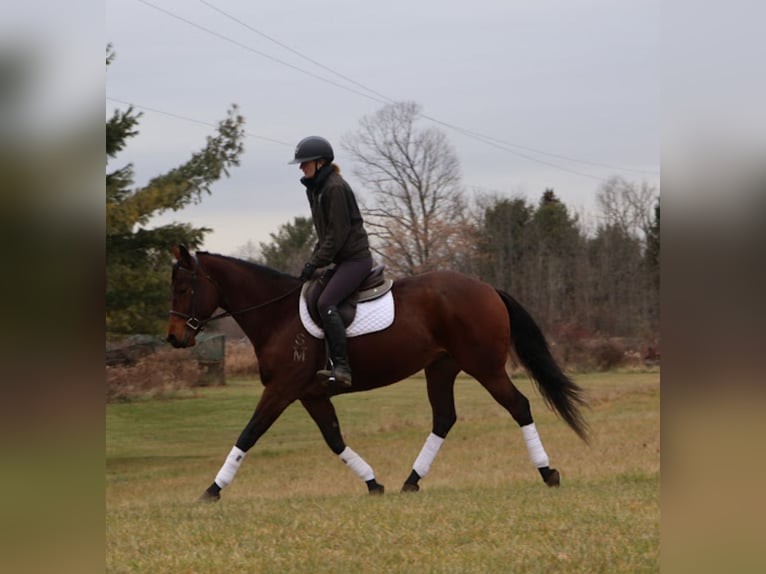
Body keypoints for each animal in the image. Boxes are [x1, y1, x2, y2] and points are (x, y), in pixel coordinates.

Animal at [167, 245, 589, 501]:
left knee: (519, 406)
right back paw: (411, 482)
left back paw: (548, 473)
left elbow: (248, 434)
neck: (277, 315)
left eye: (185, 289)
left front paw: (212, 490)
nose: (173, 338)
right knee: (444, 418)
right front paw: (373, 483)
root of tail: (487, 288)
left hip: (484, 367)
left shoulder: (282, 389)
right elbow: (334, 440)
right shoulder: (310, 394)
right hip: (441, 368)